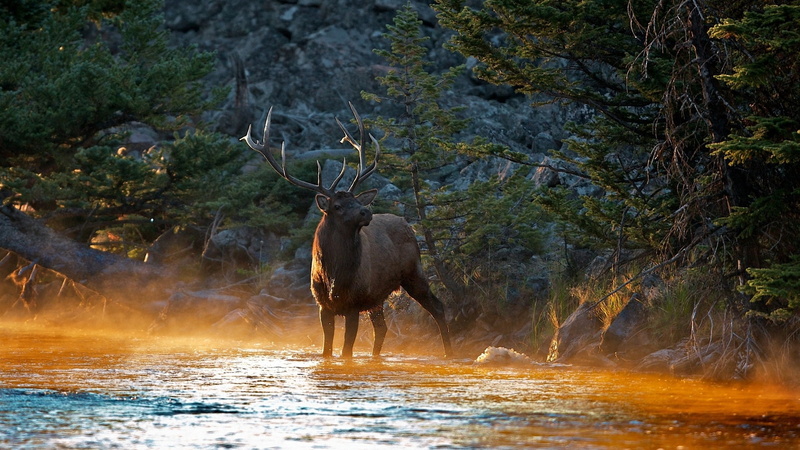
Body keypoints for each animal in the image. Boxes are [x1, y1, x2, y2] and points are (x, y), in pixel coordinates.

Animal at [242, 103, 452, 358]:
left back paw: (450, 352)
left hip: (414, 271)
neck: (334, 275)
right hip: (377, 296)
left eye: (356, 200)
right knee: (382, 328)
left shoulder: (353, 304)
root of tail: (407, 224)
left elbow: (346, 352)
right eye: (338, 206)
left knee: (438, 307)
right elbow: (327, 350)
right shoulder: (323, 305)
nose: (366, 211)